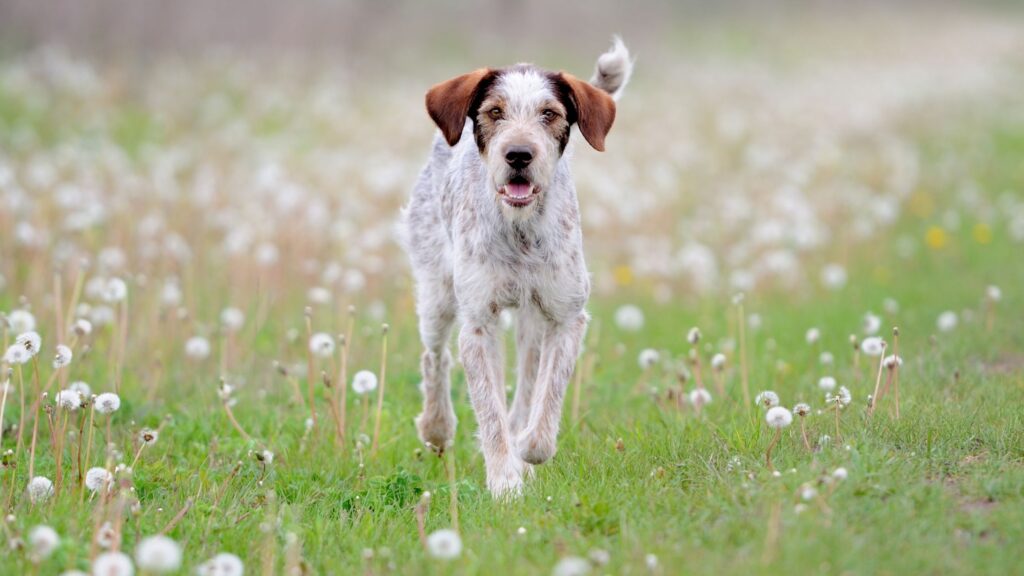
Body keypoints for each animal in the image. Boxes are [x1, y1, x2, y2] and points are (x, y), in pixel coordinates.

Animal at [399, 38, 630, 496]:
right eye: (494, 112)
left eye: (549, 114)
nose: (519, 154)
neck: (520, 231)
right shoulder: (477, 324)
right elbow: (489, 411)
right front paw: (505, 482)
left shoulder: (565, 317)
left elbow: (543, 401)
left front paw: (527, 451)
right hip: (436, 295)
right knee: (435, 358)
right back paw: (436, 428)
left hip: (531, 321)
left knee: (526, 380)